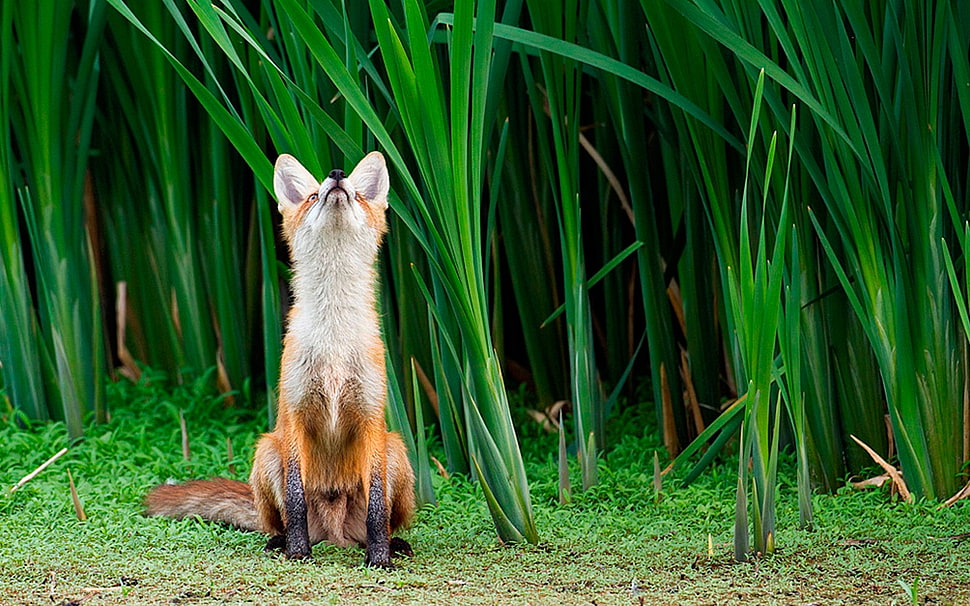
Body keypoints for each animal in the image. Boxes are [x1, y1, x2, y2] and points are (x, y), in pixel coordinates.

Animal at [145, 151, 415, 568]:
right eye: (313, 196)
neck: (333, 342)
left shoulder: (371, 420)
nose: (337, 175)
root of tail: (335, 534)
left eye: (356, 194)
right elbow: (295, 498)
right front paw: (299, 552)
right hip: (267, 452)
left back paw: (393, 543)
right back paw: (280, 542)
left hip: (396, 452)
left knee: (383, 518)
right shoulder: (294, 416)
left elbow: (375, 509)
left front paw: (379, 558)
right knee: (280, 520)